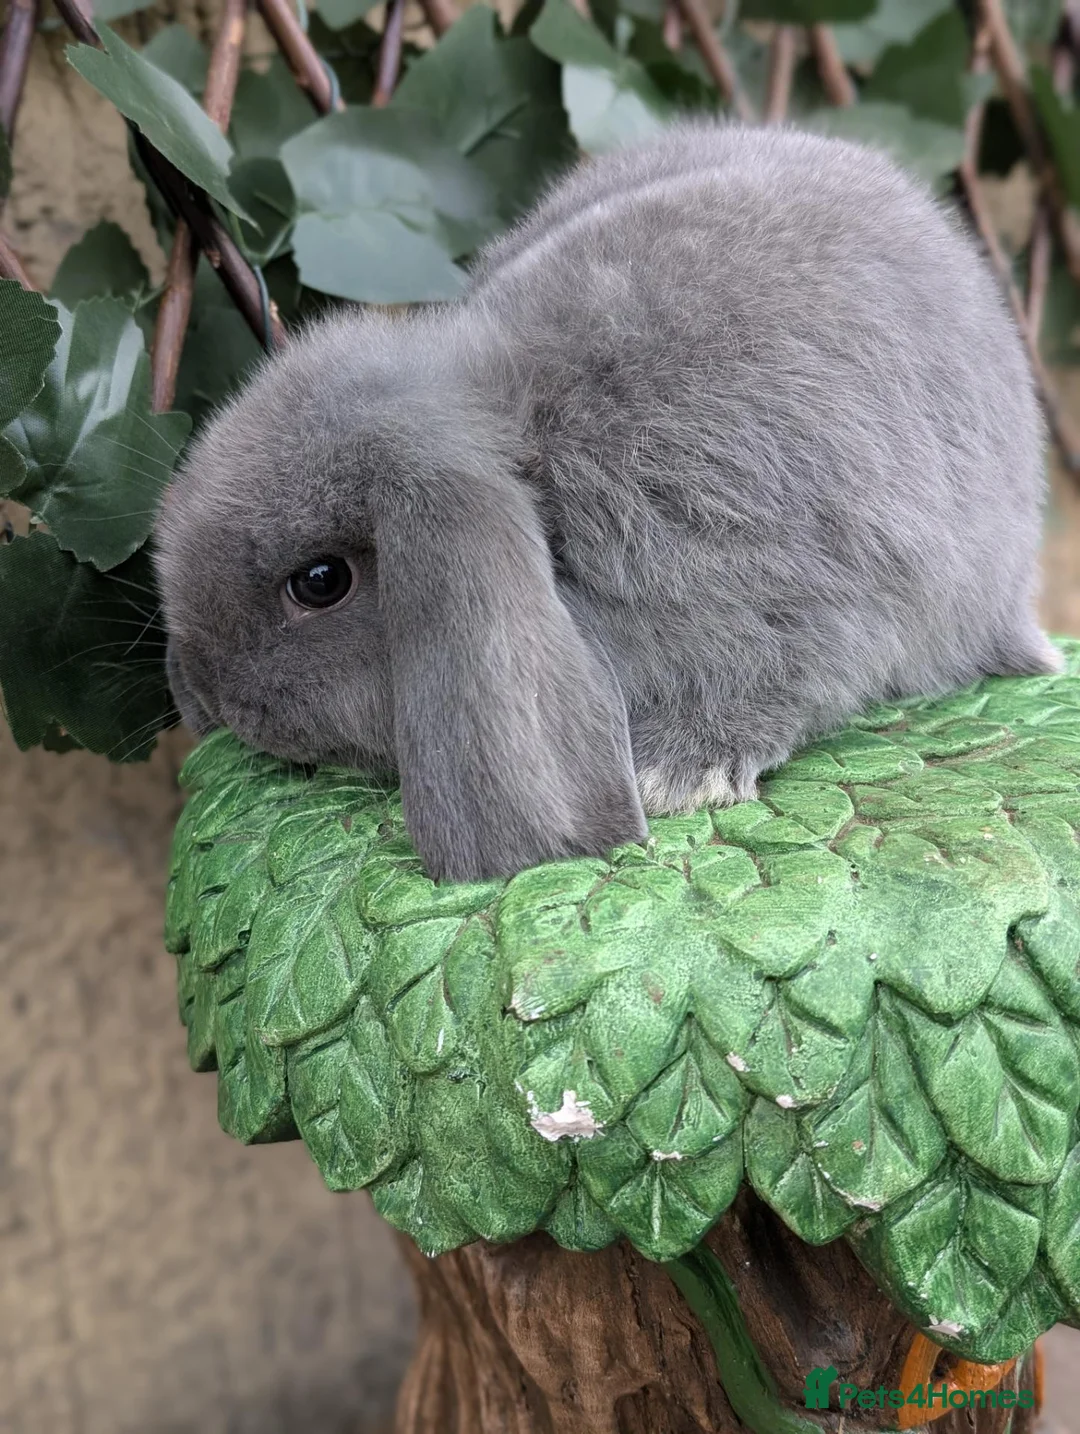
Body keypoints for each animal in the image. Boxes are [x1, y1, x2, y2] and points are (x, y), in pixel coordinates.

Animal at [155, 120, 1059, 883]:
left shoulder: (811, 598)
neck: (540, 462)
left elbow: (787, 682)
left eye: (319, 582)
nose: (204, 699)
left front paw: (673, 774)